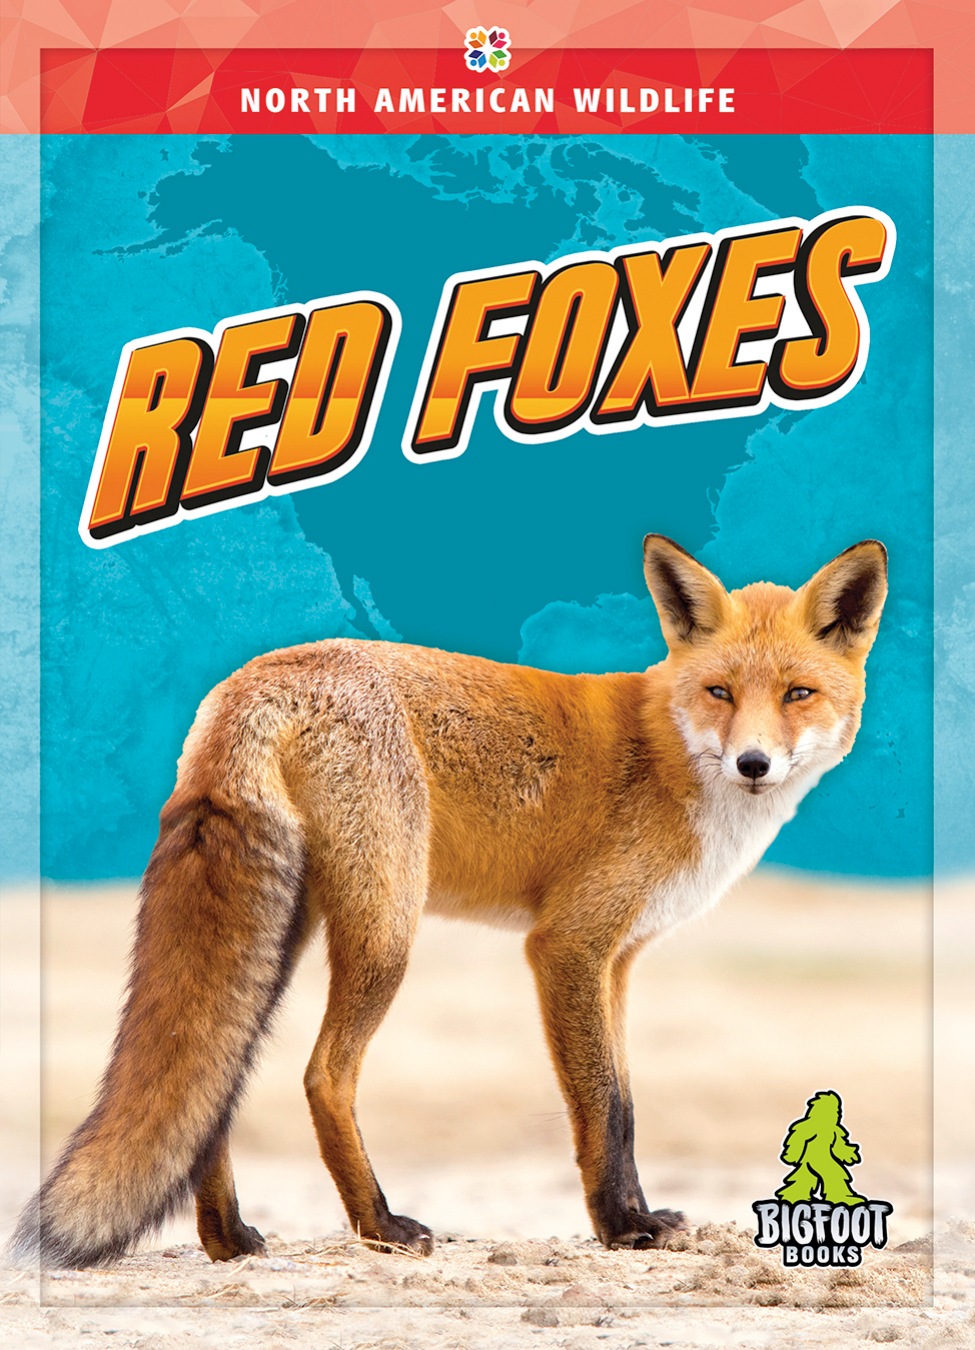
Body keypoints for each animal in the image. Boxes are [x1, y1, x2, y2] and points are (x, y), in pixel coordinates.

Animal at [10, 534, 887, 1268]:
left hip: (286, 927)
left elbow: (626, 1101)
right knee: (322, 1076)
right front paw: (621, 1228)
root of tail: (251, 679)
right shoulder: (567, 945)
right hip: (386, 930)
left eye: (797, 694)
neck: (668, 757)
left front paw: (635, 1216)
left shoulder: (618, 959)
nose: (752, 763)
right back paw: (378, 1225)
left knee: (214, 1092)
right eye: (719, 691)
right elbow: (602, 1106)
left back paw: (228, 1238)